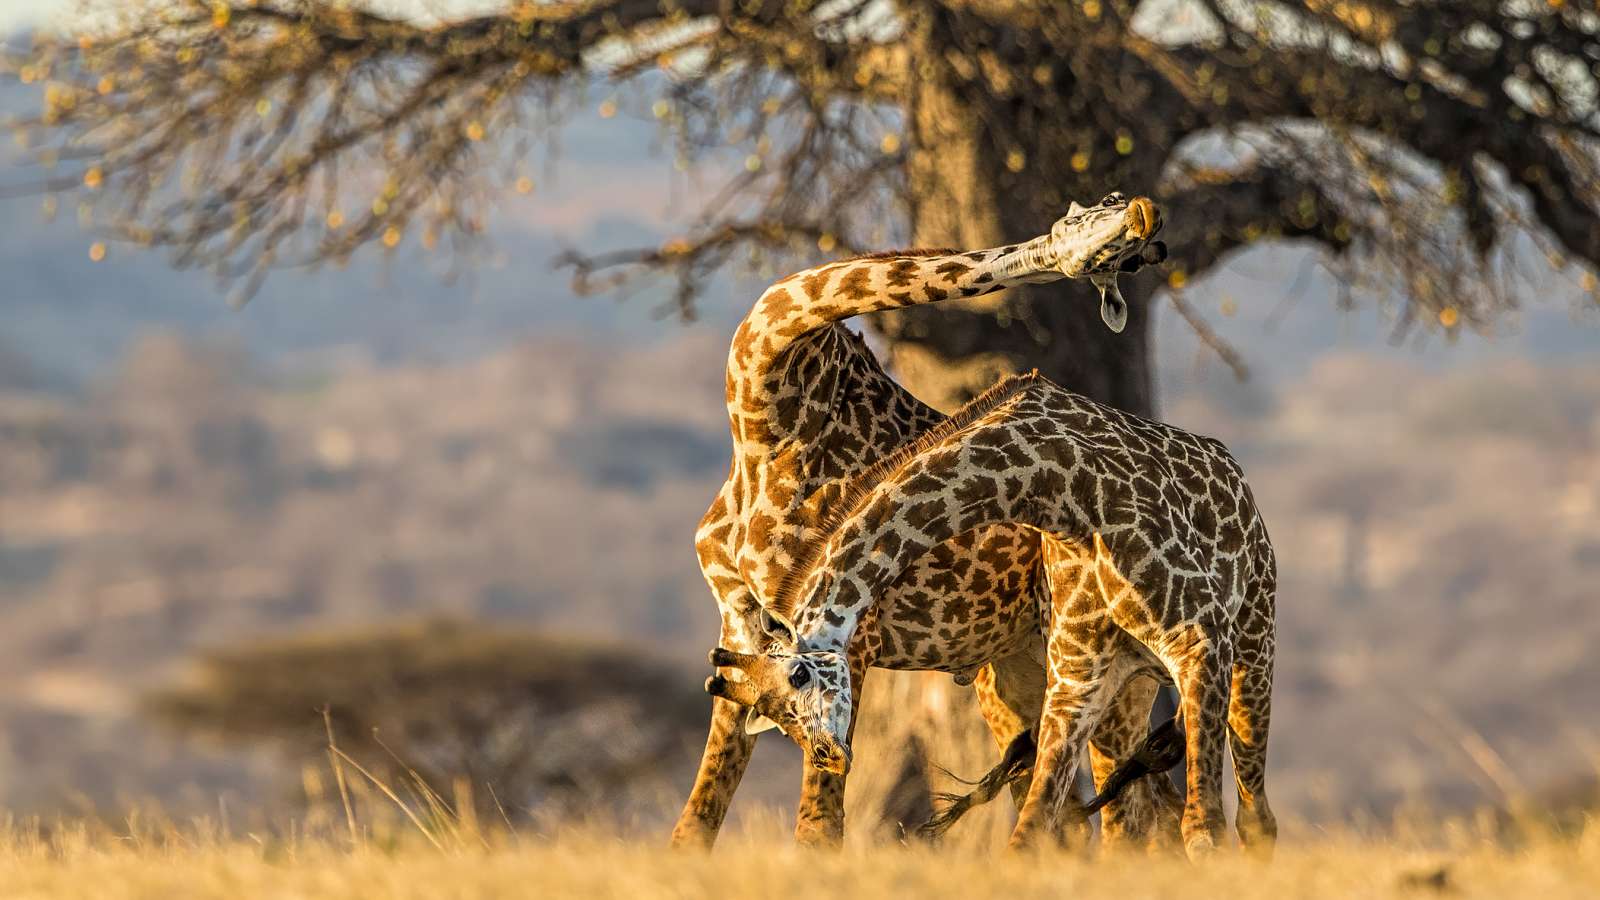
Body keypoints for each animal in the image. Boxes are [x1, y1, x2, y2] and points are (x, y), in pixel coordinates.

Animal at [673, 193, 1172, 849]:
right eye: (1091, 221)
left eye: (1128, 259)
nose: (1145, 218)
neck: (768, 417)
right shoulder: (741, 629)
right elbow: (696, 821)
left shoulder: (850, 632)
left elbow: (818, 826)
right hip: (1017, 672)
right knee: (1070, 812)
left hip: (1113, 676)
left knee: (1131, 817)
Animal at [704, 372, 1278, 859]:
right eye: (776, 717)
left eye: (799, 676)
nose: (826, 754)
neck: (1053, 485)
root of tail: (1236, 473)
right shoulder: (1078, 678)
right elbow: (1030, 832)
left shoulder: (1199, 639)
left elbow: (1205, 829)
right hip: (1130, 682)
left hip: (1253, 641)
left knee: (1251, 818)